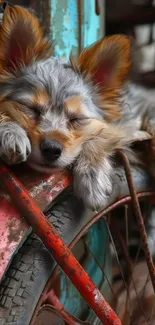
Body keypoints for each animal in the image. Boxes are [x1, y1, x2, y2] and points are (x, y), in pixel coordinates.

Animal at [0, 3, 149, 209]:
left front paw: (92, 176)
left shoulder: (124, 125)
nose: (52, 149)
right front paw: (10, 132)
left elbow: (101, 135)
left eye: (77, 119)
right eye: (31, 109)